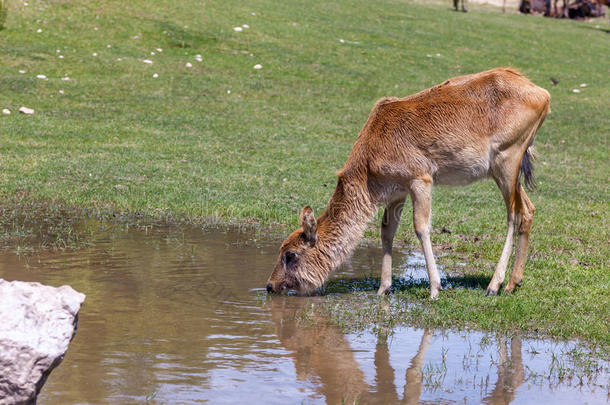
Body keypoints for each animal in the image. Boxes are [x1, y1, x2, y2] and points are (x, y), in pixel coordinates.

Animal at [264, 68, 548, 298]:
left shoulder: (420, 178)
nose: (269, 285)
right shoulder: (396, 191)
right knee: (529, 209)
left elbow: (421, 227)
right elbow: (386, 230)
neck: (369, 170)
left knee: (513, 213)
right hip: (510, 167)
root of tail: (544, 95)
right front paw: (383, 288)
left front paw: (435, 289)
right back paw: (513, 283)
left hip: (507, 157)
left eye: (290, 254)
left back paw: (493, 285)